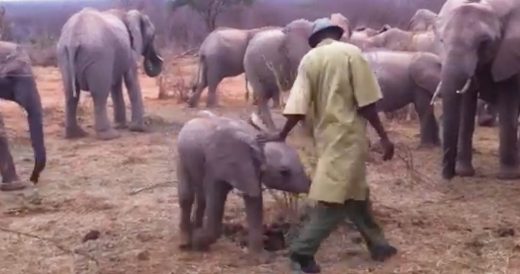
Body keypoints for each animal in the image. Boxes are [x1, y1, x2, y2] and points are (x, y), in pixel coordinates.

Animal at [55, 7, 161, 140]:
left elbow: (115, 85)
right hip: (98, 56)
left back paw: (75, 134)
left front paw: (121, 125)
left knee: (70, 94)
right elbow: (130, 79)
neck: (127, 14)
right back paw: (110, 135)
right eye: (153, 36)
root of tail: (73, 40)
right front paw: (139, 129)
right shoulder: (129, 50)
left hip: (63, 56)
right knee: (99, 95)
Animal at [177, 111, 310, 260]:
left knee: (201, 198)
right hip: (181, 156)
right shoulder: (216, 164)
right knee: (186, 196)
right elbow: (216, 199)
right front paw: (198, 242)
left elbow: (254, 200)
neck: (255, 139)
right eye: (284, 172)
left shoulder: (250, 169)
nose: (309, 186)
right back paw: (185, 243)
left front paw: (261, 258)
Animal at [434, 0, 520, 180]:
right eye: (442, 41)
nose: (448, 175)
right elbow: (466, 106)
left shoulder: (510, 55)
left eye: (484, 42)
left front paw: (509, 176)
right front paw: (464, 173)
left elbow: (508, 103)